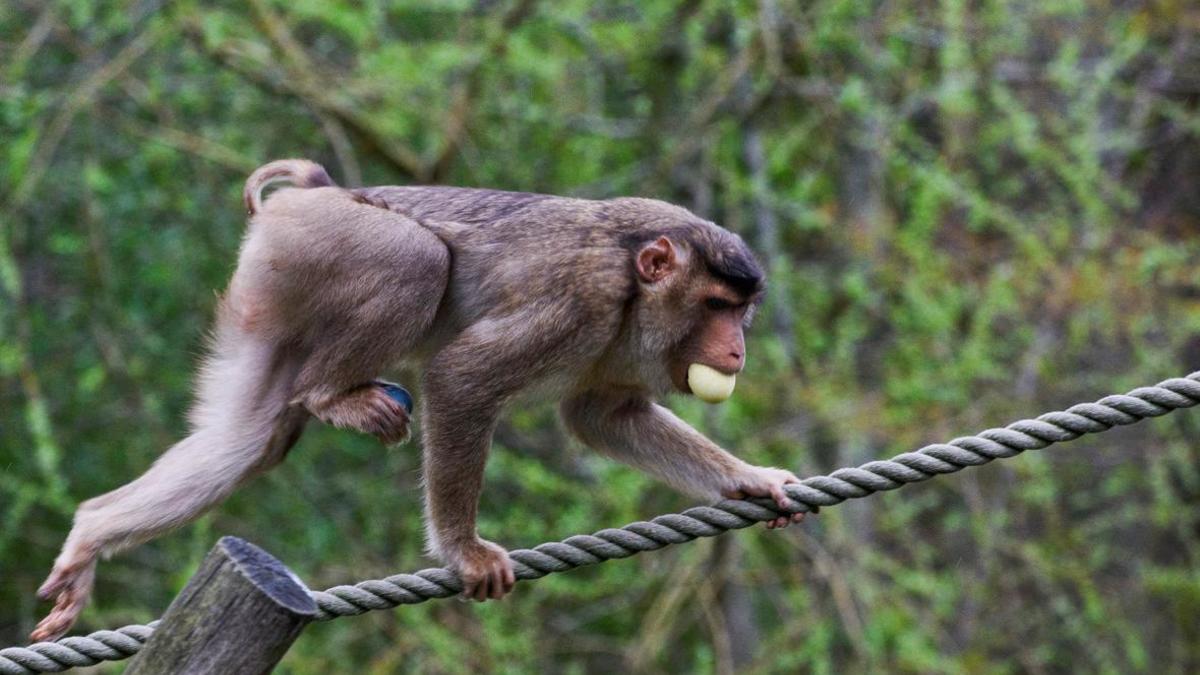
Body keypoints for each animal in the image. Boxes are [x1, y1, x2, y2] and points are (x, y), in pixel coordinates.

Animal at [30, 158, 806, 638]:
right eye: (716, 306)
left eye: (740, 312)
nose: (736, 350)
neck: (633, 292)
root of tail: (323, 189)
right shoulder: (580, 302)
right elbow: (464, 376)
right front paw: (463, 553)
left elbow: (603, 416)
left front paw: (751, 479)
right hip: (321, 241)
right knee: (416, 259)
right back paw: (332, 395)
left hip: (271, 283)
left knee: (247, 441)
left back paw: (93, 531)